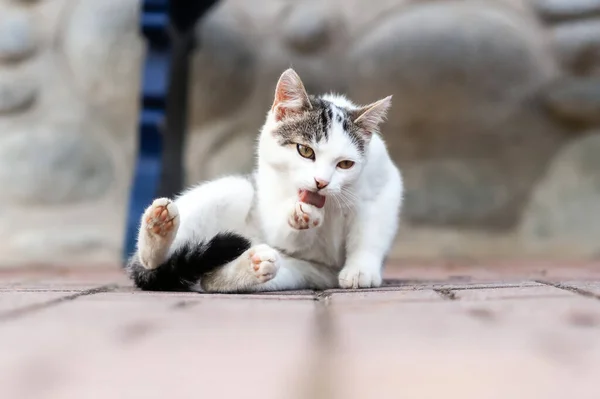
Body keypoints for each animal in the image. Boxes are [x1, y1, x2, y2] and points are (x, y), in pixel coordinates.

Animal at [126, 68, 404, 294]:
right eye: (305, 151)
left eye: (345, 164)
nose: (321, 182)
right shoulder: (272, 203)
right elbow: (286, 232)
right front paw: (300, 215)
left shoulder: (383, 190)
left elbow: (370, 233)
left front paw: (360, 270)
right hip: (237, 190)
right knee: (151, 264)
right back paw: (158, 230)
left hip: (302, 272)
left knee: (211, 280)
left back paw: (251, 265)